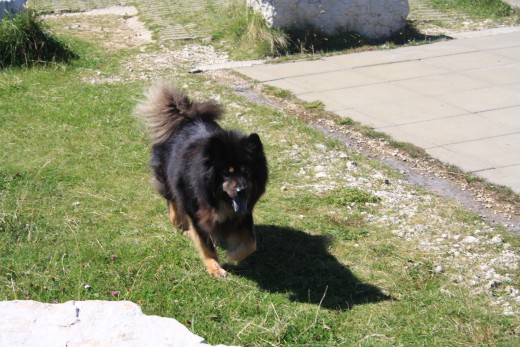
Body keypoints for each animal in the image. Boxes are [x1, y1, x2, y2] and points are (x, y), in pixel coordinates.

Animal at [136, 83, 268, 278]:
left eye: (247, 172)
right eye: (226, 173)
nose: (242, 191)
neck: (218, 199)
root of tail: (185, 117)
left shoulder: (243, 213)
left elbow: (251, 243)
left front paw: (232, 255)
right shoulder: (196, 212)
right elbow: (206, 245)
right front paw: (214, 267)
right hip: (167, 178)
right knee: (172, 200)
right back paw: (179, 223)